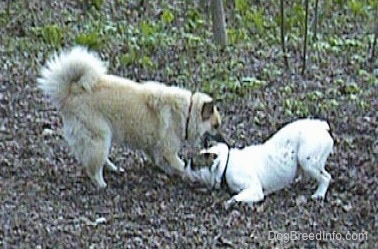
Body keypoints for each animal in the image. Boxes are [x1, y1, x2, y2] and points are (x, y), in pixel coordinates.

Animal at [37, 46, 221, 188]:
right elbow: (181, 165)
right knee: (93, 168)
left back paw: (114, 169)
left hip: (100, 139)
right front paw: (192, 175)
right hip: (99, 136)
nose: (222, 140)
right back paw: (101, 183)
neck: (188, 113)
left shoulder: (155, 148)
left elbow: (163, 162)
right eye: (216, 126)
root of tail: (71, 92)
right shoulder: (168, 149)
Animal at [186, 118, 334, 208]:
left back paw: (319, 194)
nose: (186, 164)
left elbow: (238, 196)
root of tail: (322, 127)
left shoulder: (255, 190)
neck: (225, 164)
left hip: (306, 159)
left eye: (193, 164)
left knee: (325, 177)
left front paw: (231, 202)